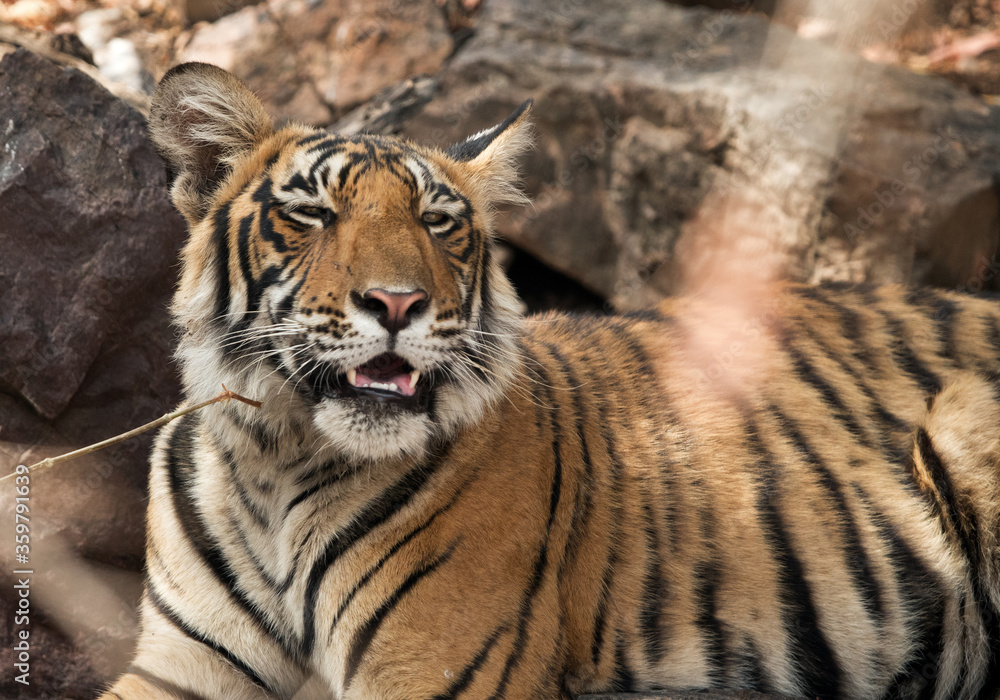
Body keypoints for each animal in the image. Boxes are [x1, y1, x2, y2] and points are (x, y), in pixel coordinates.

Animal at [100, 60, 1000, 700]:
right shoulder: (176, 666)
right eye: (314, 214)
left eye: (437, 223)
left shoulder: (434, 671)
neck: (276, 457)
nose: (398, 302)